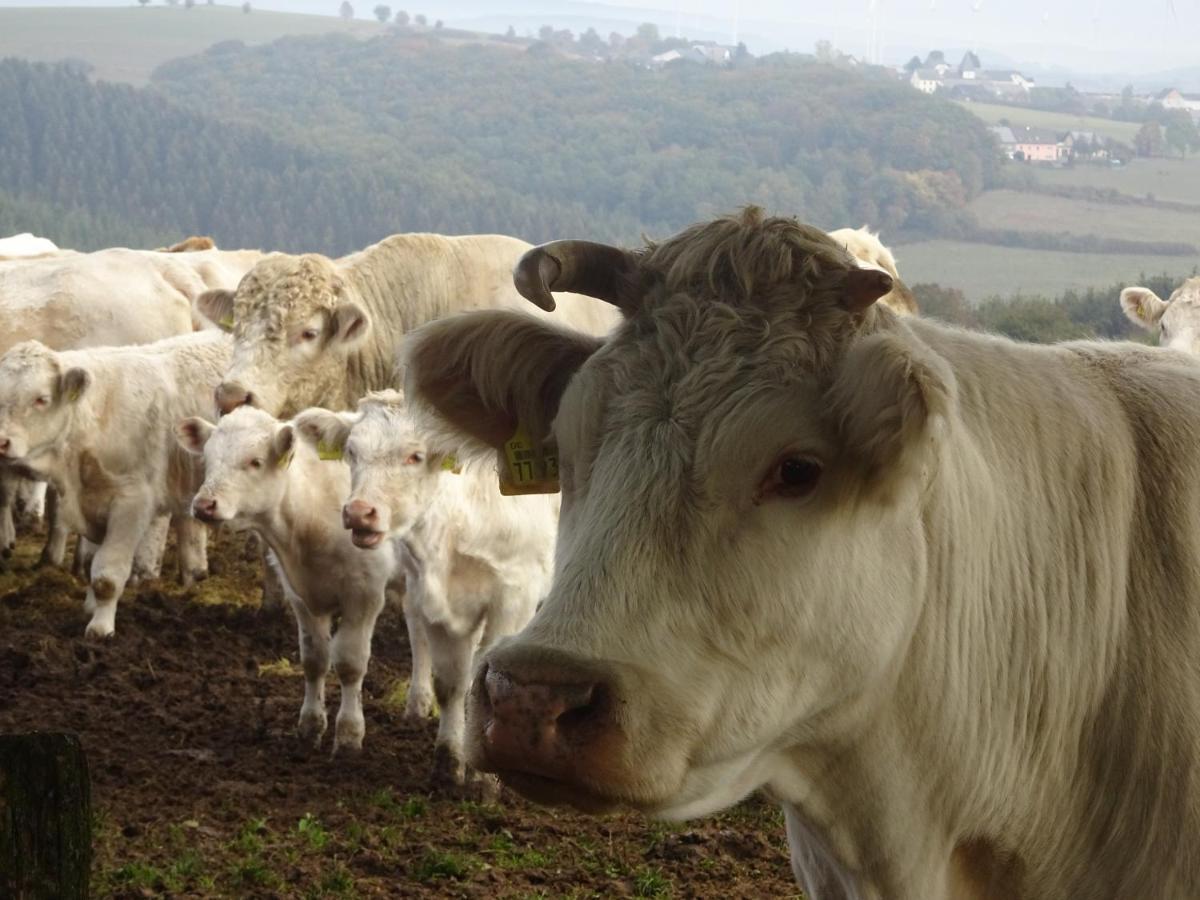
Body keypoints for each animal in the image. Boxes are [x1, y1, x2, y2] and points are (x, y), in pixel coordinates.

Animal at [0, 333, 231, 643]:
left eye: (41, 399)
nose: (2, 442)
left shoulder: (131, 504)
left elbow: (107, 575)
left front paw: (100, 628)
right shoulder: (93, 501)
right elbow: (89, 563)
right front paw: (90, 607)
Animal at [175, 408, 405, 753]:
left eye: (255, 461)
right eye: (208, 458)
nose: (204, 505)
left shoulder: (364, 594)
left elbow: (350, 664)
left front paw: (349, 734)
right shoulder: (300, 595)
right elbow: (314, 658)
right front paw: (310, 725)